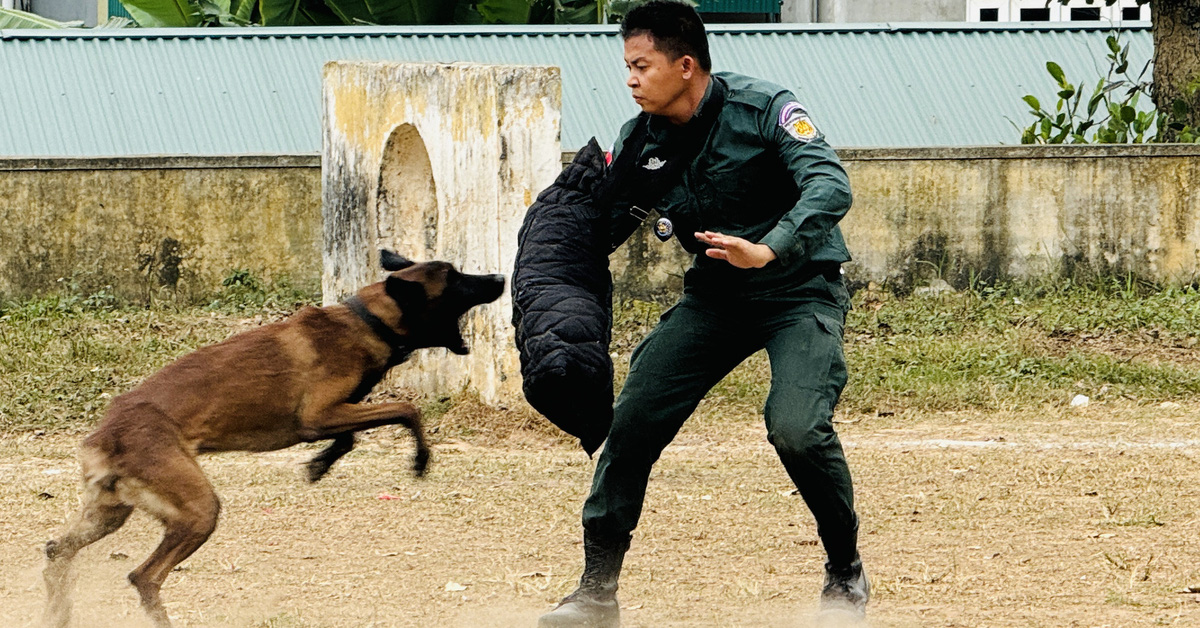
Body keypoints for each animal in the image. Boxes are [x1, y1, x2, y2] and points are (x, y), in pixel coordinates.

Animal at [43, 250, 506, 628]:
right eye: (456, 278)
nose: (500, 276)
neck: (366, 321)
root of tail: (104, 437)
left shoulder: (330, 415)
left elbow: (351, 438)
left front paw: (319, 464)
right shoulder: (319, 415)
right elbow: (407, 411)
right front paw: (420, 460)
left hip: (109, 513)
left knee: (55, 552)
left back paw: (57, 614)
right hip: (197, 510)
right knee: (144, 576)